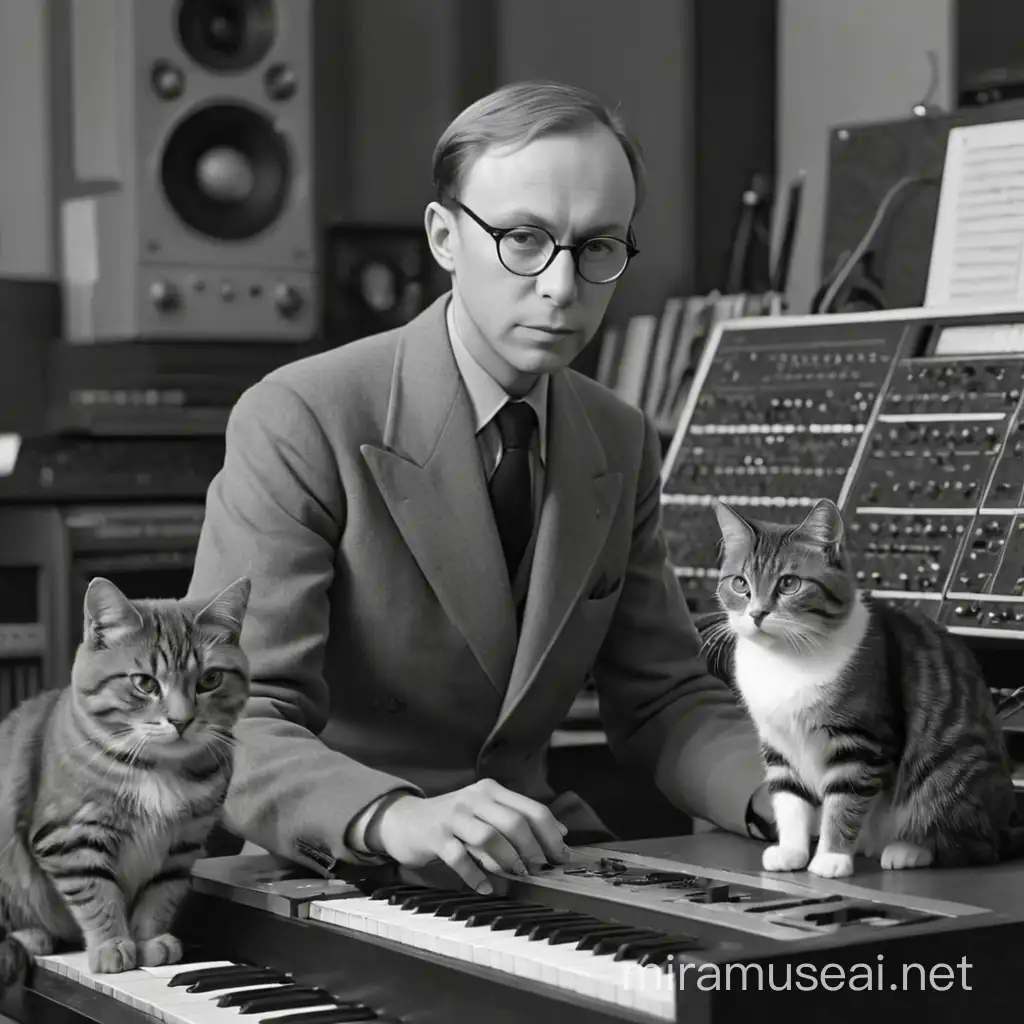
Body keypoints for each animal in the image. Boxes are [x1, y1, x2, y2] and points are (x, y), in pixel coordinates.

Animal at [0, 573, 249, 987]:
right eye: (145, 684)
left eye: (210, 679)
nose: (181, 720)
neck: (158, 767)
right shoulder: (71, 837)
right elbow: (97, 895)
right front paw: (111, 945)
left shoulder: (182, 845)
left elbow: (159, 895)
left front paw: (149, 941)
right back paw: (33, 936)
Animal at [700, 497, 1024, 880]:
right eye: (740, 583)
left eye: (789, 583)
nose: (756, 614)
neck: (785, 660)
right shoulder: (779, 745)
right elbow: (789, 800)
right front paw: (792, 851)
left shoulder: (860, 742)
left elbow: (844, 801)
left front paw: (832, 856)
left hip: (952, 770)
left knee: (975, 843)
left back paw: (908, 849)